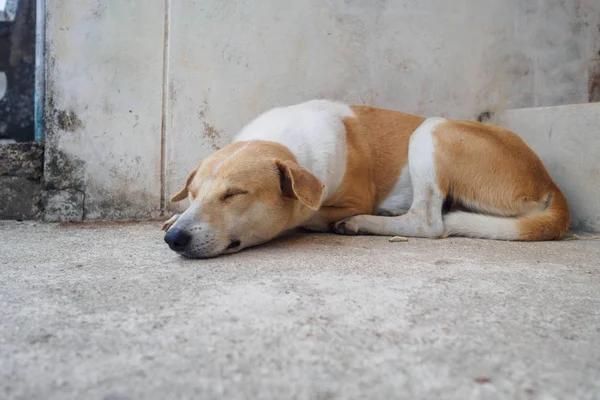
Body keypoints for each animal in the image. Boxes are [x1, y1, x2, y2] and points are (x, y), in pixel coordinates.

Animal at [162, 98, 568, 258]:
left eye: (234, 194)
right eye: (193, 193)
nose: (174, 238)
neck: (285, 143)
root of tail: (549, 181)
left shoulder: (350, 198)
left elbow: (310, 216)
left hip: (431, 130)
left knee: (429, 222)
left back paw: (361, 223)